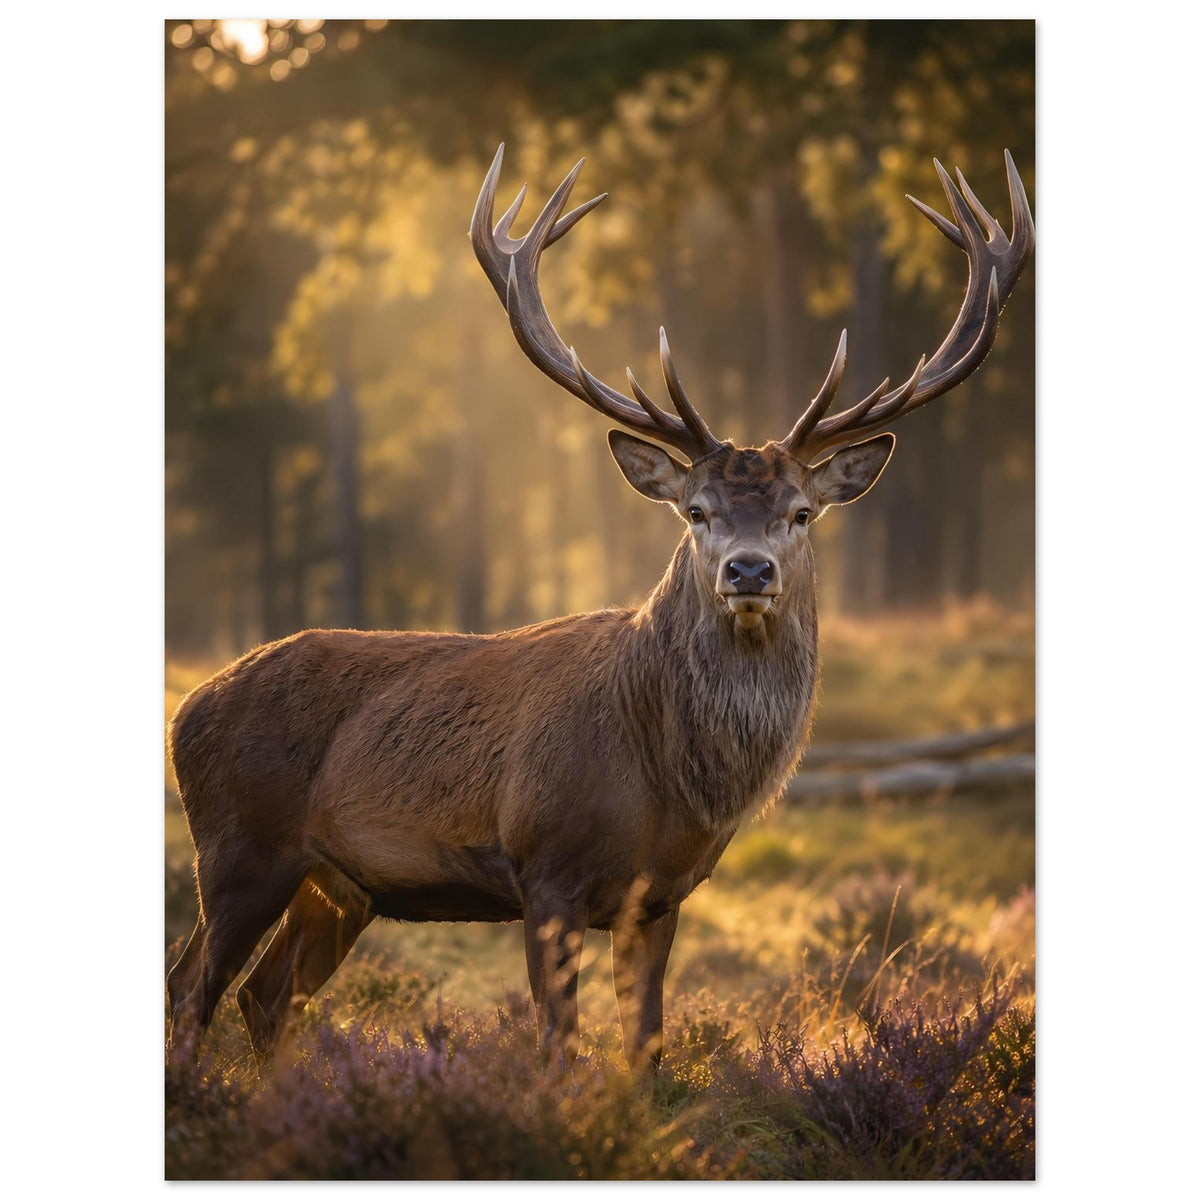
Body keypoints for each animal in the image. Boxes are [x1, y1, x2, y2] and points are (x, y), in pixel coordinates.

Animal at [166, 143, 1033, 1071]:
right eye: (696, 511)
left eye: (802, 512)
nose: (749, 570)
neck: (666, 777)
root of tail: (187, 708)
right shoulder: (545, 869)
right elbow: (556, 1044)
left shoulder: (662, 895)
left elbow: (644, 1047)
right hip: (239, 847)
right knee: (193, 987)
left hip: (341, 884)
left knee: (264, 995)